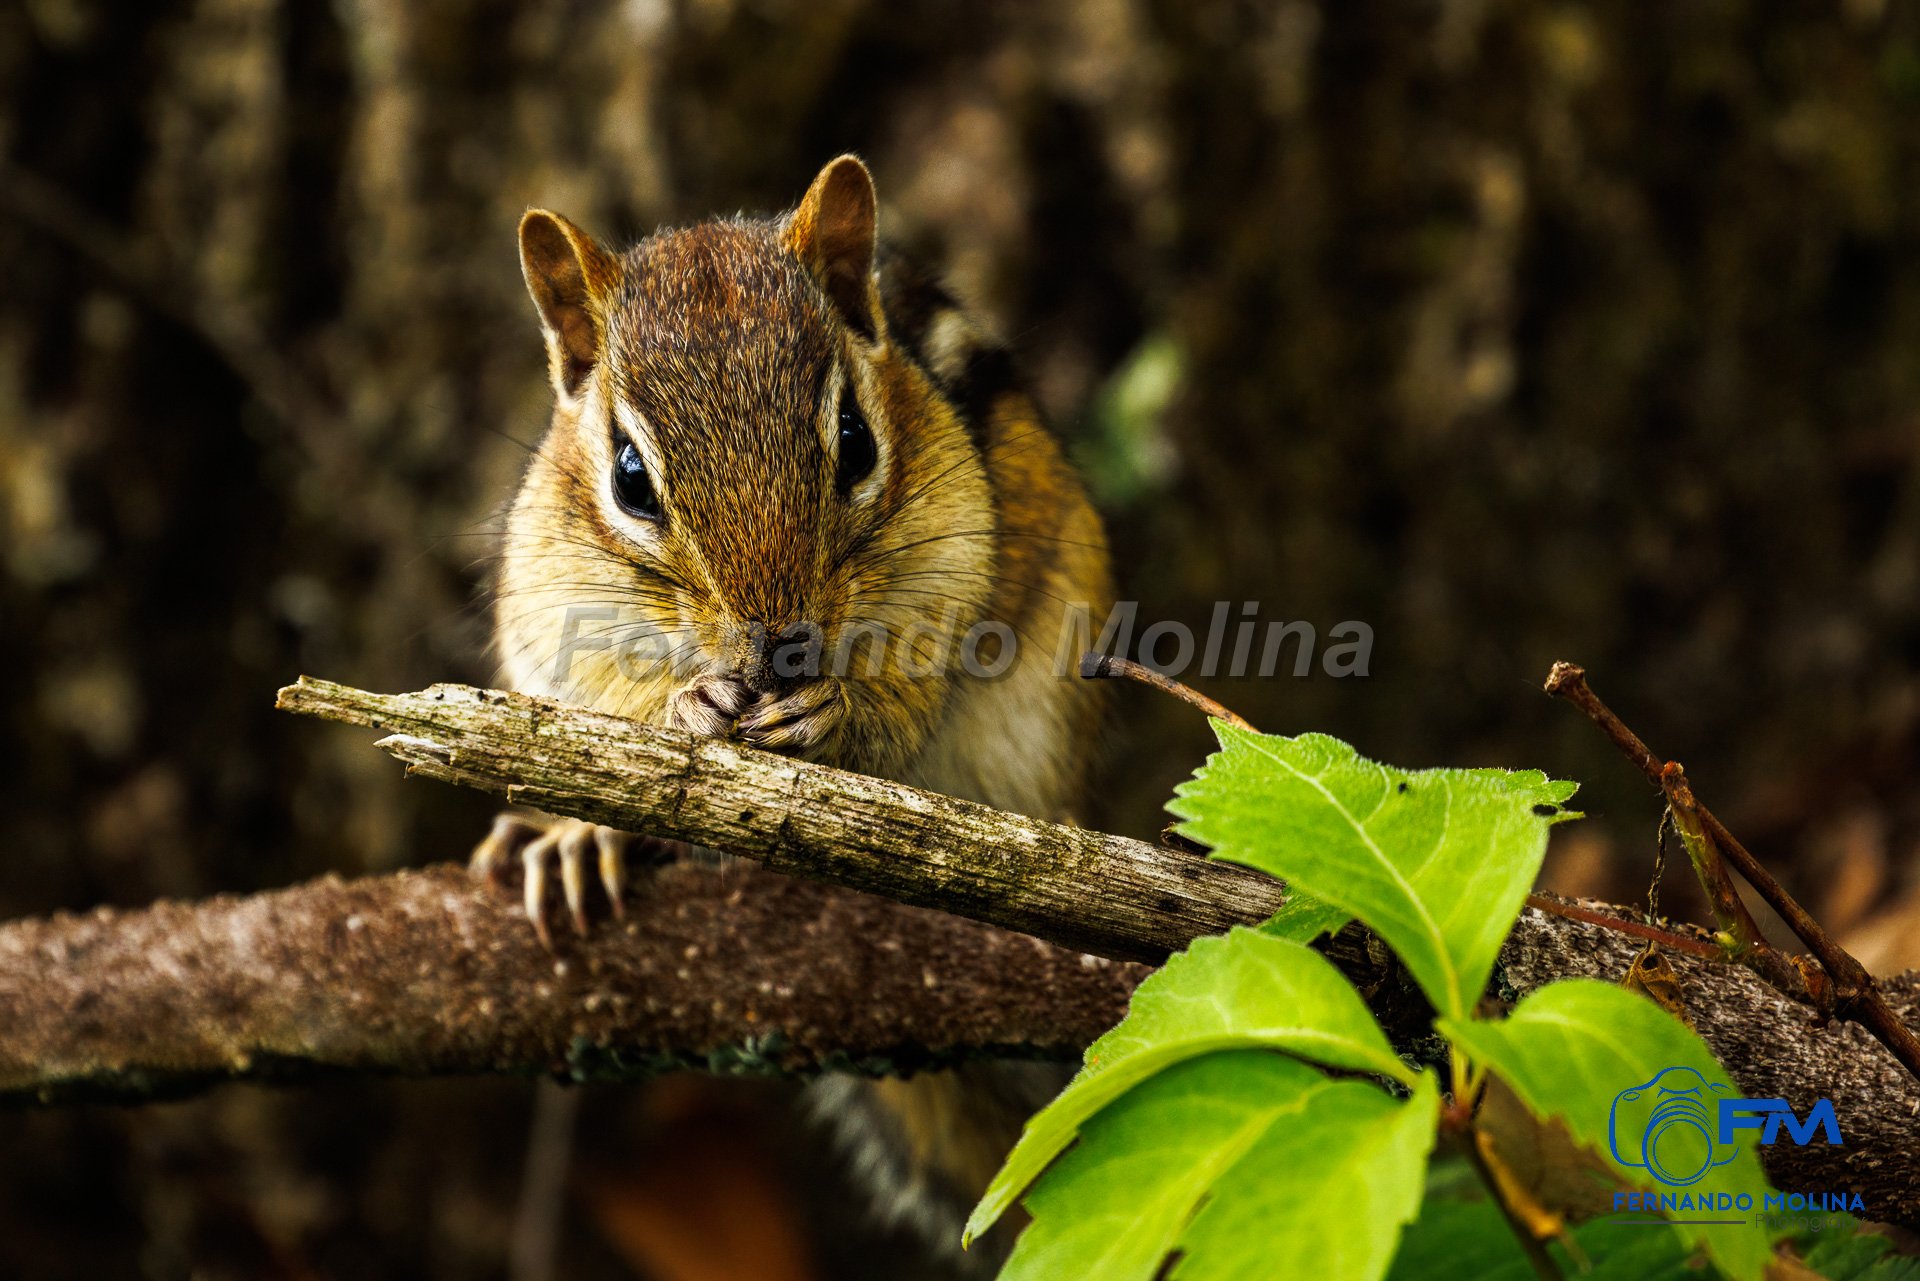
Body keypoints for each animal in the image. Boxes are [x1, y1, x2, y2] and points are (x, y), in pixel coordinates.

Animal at [473, 154, 1114, 1266]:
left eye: (854, 441)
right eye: (630, 477)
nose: (778, 643)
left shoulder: (954, 570)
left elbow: (908, 696)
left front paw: (830, 712)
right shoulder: (548, 612)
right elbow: (594, 718)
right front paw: (617, 788)